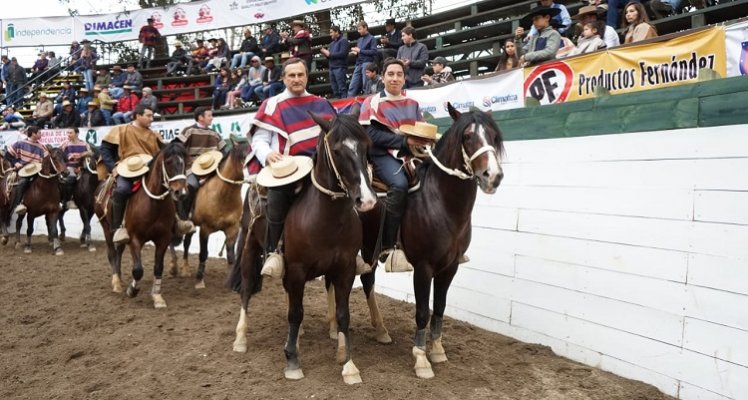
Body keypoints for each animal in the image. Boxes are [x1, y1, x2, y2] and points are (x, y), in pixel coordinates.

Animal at [95, 142, 188, 308]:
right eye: (168, 162)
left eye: (184, 162)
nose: (180, 192)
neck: (153, 203)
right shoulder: (135, 239)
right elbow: (138, 270)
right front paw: (132, 290)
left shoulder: (163, 239)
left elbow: (158, 268)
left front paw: (157, 297)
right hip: (106, 228)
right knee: (112, 252)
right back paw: (116, 282)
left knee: (119, 251)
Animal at [169, 138, 248, 288]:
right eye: (245, 156)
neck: (223, 195)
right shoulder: (205, 229)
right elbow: (203, 253)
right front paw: (199, 280)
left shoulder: (232, 229)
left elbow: (231, 256)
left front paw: (230, 282)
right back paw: (173, 267)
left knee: (187, 243)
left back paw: (185, 269)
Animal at [231, 109, 376, 384]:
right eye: (337, 151)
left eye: (366, 145)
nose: (367, 200)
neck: (326, 219)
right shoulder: (297, 269)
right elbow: (295, 313)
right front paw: (292, 361)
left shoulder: (345, 270)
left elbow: (343, 314)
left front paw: (349, 365)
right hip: (249, 247)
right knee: (245, 290)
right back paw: (241, 338)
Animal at [350, 103, 506, 378]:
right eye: (467, 136)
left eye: (494, 136)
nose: (493, 175)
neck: (440, 202)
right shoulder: (423, 267)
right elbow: (422, 311)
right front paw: (421, 358)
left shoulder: (450, 267)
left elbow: (440, 307)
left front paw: (438, 350)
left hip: (370, 248)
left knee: (367, 279)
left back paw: (381, 331)